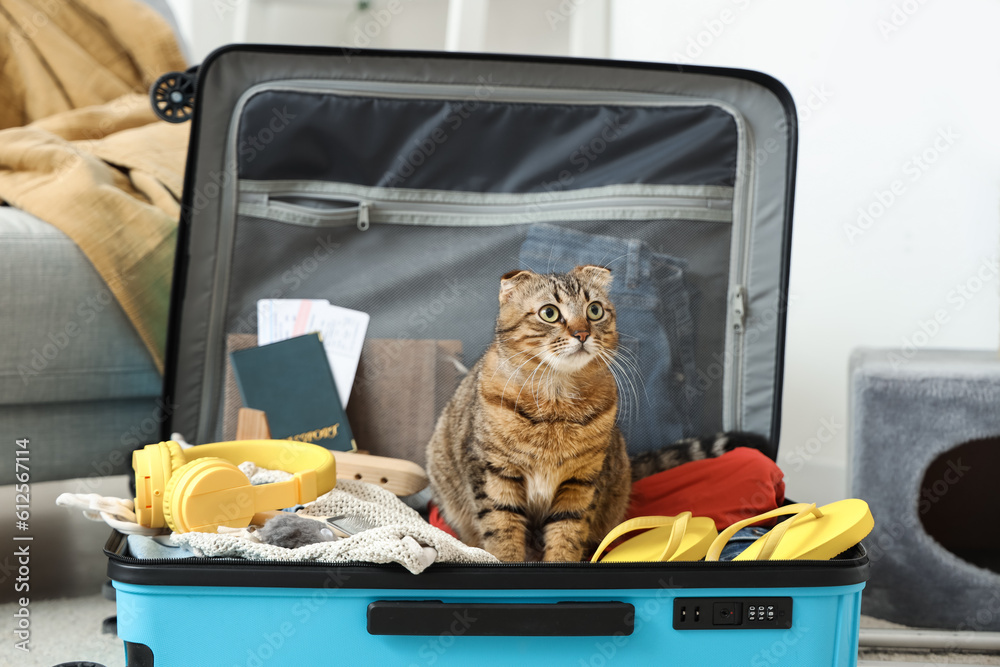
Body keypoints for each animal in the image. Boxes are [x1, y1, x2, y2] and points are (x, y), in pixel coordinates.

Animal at [426, 266, 760, 564]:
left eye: (595, 310)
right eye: (550, 313)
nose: (582, 333)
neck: (556, 401)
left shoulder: (581, 481)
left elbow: (567, 534)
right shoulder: (495, 475)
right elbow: (502, 534)